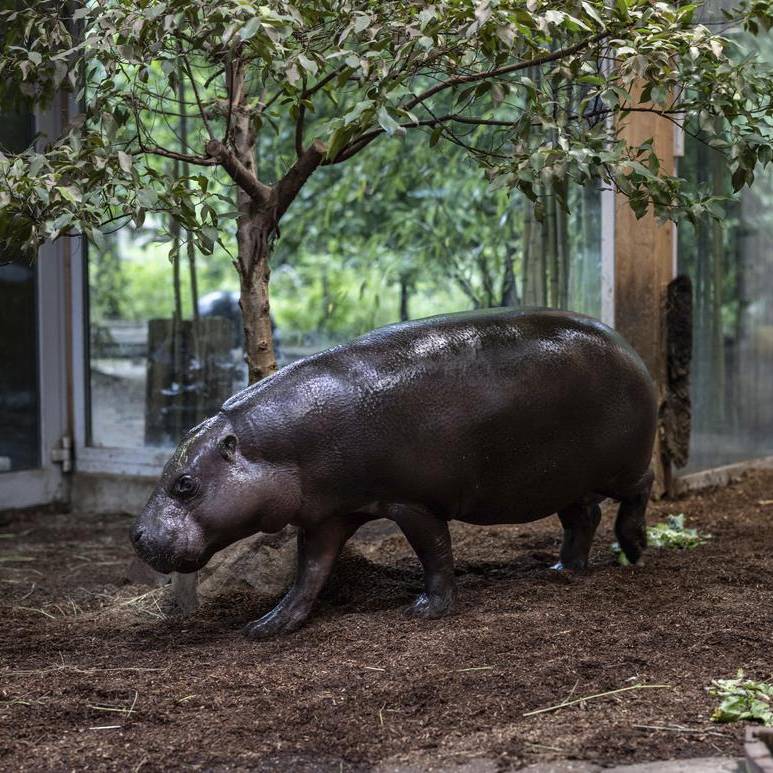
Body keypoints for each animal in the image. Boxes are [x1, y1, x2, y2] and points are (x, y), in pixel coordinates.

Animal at [132, 308, 657, 639]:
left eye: (185, 484)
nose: (136, 535)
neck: (276, 447)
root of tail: (627, 345)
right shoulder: (326, 516)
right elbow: (309, 575)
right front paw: (267, 626)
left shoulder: (411, 502)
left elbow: (435, 553)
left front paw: (427, 611)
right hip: (562, 479)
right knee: (583, 517)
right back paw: (564, 570)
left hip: (620, 465)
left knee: (640, 489)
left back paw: (634, 549)